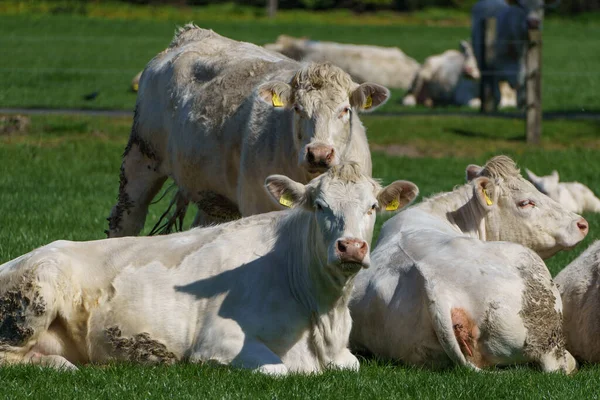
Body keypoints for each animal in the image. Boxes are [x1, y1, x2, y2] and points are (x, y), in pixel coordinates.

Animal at [0, 165, 418, 376]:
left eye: (372, 207)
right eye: (319, 204)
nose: (351, 247)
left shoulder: (343, 356)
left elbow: (353, 366)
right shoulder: (218, 341)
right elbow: (279, 369)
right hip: (35, 295)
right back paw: (60, 366)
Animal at [107, 24, 390, 238]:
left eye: (345, 109)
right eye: (297, 108)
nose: (319, 154)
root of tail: (192, 33)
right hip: (140, 157)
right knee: (125, 220)